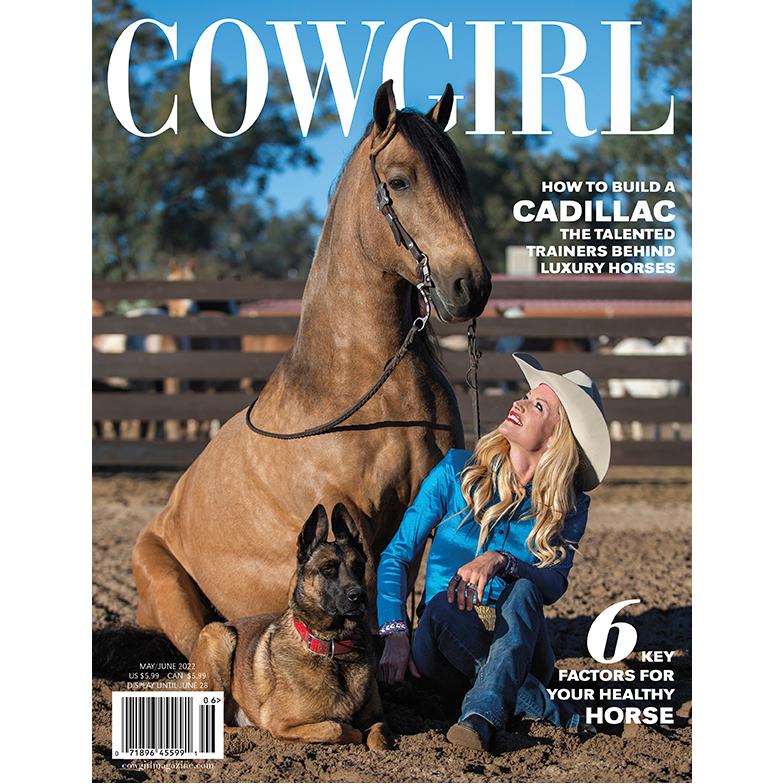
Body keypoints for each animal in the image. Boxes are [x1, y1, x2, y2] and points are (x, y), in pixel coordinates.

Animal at [131, 80, 492, 658]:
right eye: (399, 181)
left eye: (459, 183)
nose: (470, 286)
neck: (361, 386)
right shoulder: (352, 519)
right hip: (173, 596)